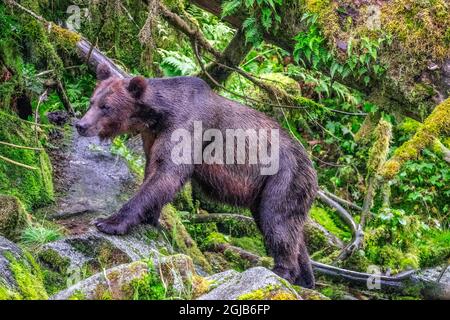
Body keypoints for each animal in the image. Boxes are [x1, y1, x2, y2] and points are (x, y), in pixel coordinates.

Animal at [75, 62, 318, 288]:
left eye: (106, 107)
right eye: (92, 101)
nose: (81, 124)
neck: (158, 114)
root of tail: (311, 166)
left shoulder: (186, 126)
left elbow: (167, 174)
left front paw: (109, 222)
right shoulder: (152, 135)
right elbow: (154, 171)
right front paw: (150, 217)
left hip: (283, 177)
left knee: (277, 222)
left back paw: (282, 271)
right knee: (290, 229)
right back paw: (305, 279)